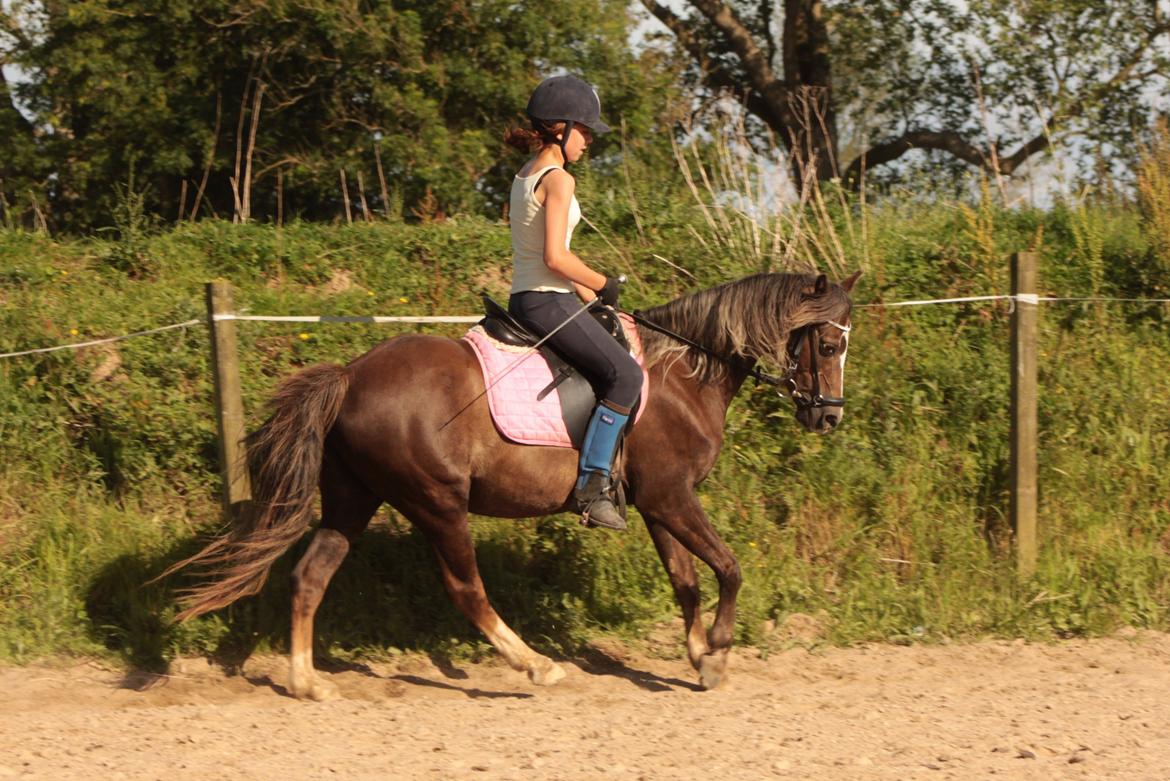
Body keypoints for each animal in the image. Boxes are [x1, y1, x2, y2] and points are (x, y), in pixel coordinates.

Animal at [167, 271, 861, 696]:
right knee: (466, 590)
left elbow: (687, 581)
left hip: (352, 499)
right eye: (828, 344)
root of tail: (350, 375)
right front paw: (716, 649)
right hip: (438, 504)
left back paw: (308, 682)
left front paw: (697, 657)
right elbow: (729, 568)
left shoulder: (657, 502)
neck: (685, 373)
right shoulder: (671, 497)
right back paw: (536, 666)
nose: (828, 416)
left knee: (311, 576)